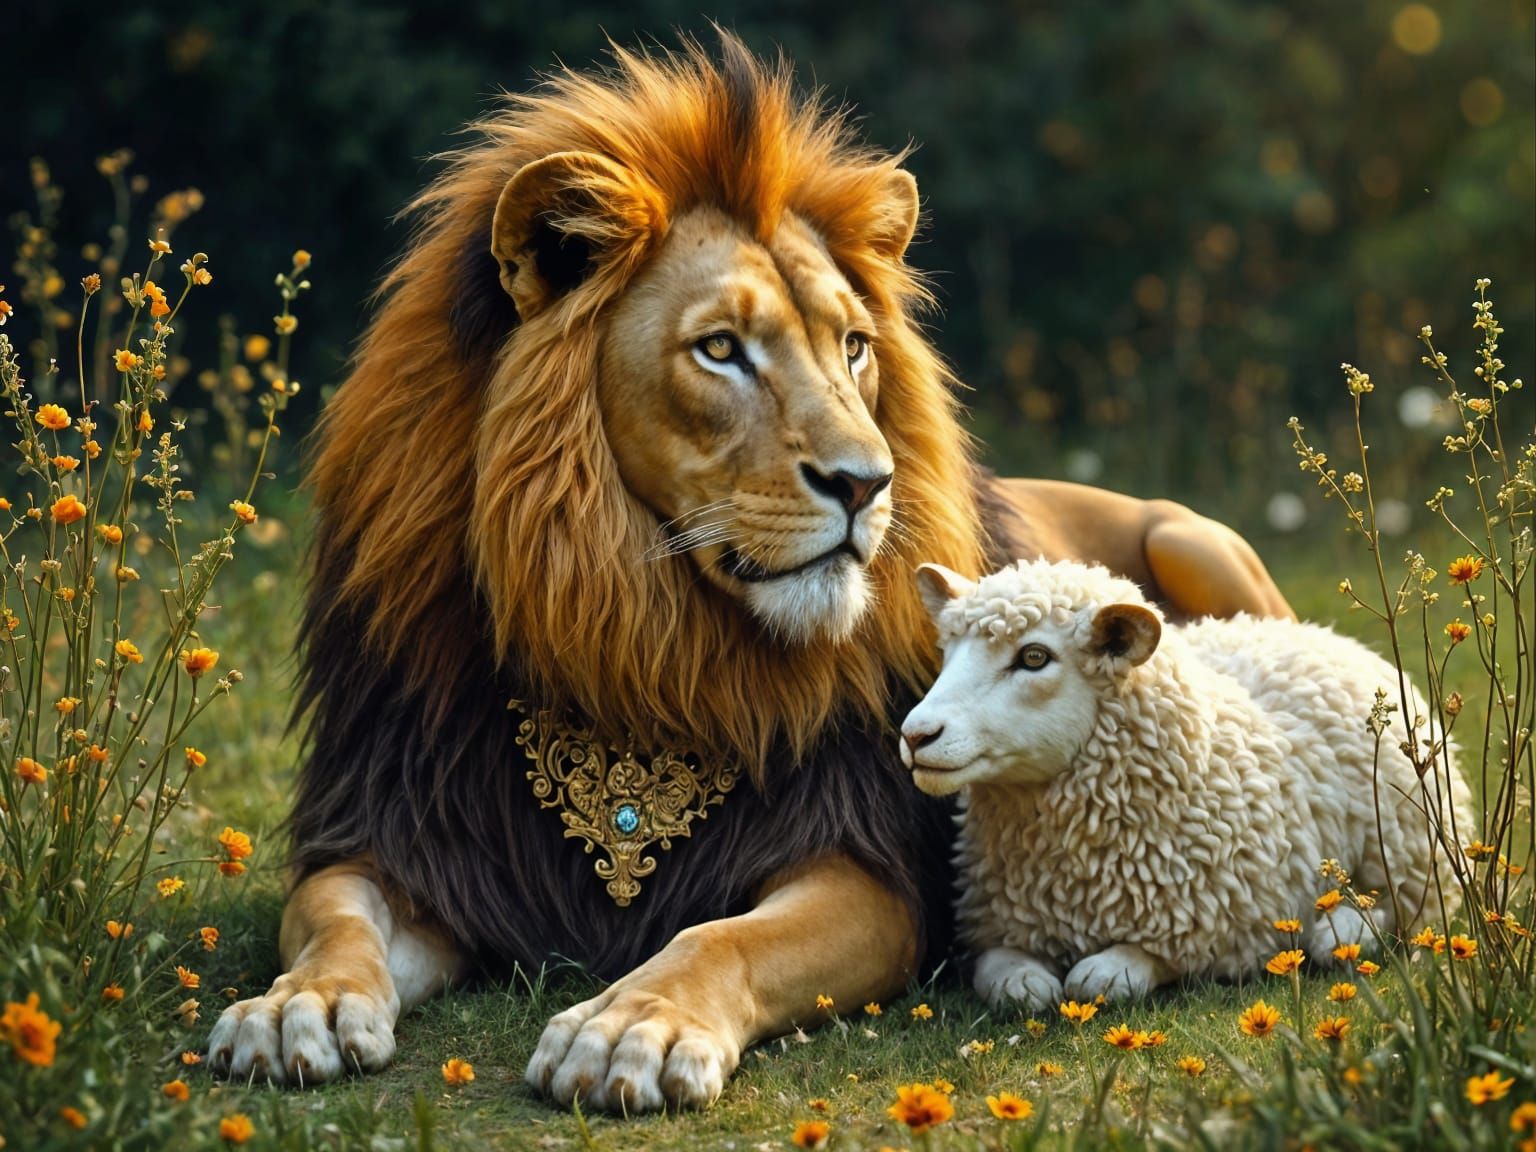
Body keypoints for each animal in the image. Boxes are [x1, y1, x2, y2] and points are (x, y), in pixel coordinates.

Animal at [207, 34, 1291, 1112]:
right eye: (722, 349)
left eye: (853, 347)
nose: (867, 483)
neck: (625, 636)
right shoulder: (397, 827)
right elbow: (335, 920)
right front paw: (297, 1005)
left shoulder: (864, 861)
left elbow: (719, 938)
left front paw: (629, 1026)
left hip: (1195, 543)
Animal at [901, 558, 1472, 1011]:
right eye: (947, 650)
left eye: (1034, 657)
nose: (915, 735)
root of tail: (1327, 634)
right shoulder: (997, 925)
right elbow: (1004, 978)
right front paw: (1027, 982)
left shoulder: (1227, 929)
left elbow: (1122, 971)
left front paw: (1103, 971)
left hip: (1409, 847)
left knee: (1402, 910)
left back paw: (1340, 932)